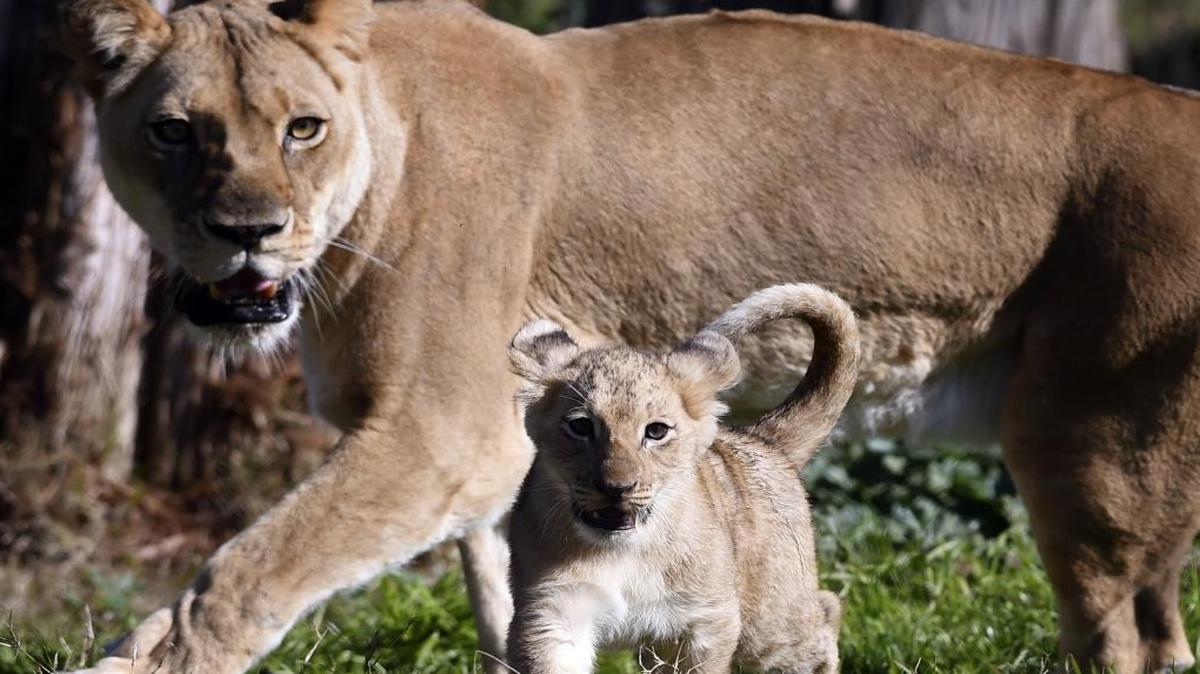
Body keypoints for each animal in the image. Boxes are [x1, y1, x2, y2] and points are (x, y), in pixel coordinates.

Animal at [506, 284, 856, 674]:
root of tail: (761, 439)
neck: (621, 554)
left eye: (656, 431)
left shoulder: (703, 621)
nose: (617, 488)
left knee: (826, 612)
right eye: (581, 426)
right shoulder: (553, 613)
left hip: (771, 622)